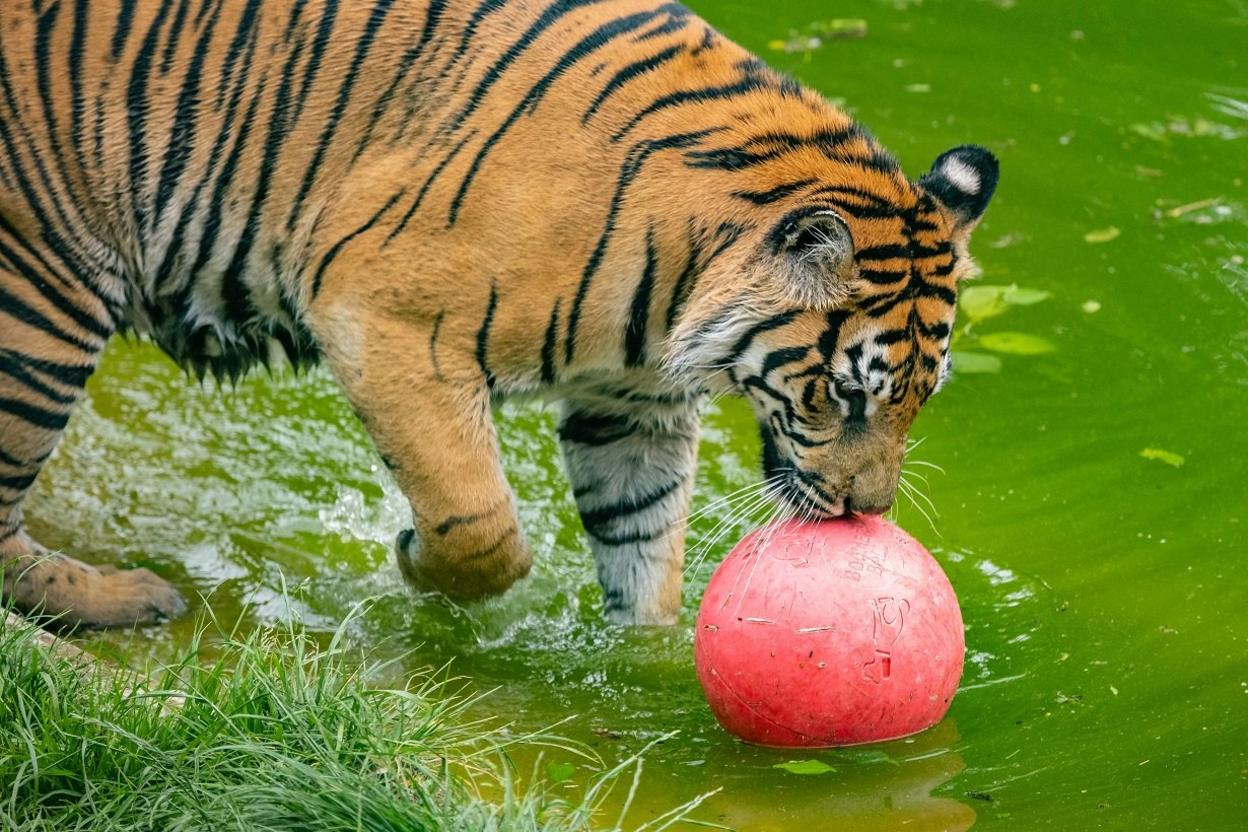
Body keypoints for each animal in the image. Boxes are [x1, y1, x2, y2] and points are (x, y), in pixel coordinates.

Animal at [0, 0, 993, 628]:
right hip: (43, 295)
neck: (676, 289)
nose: (867, 512)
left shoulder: (632, 404)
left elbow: (643, 548)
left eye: (919, 399)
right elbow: (479, 523)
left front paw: (645, 669)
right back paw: (123, 600)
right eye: (845, 394)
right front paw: (415, 562)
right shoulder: (379, 314)